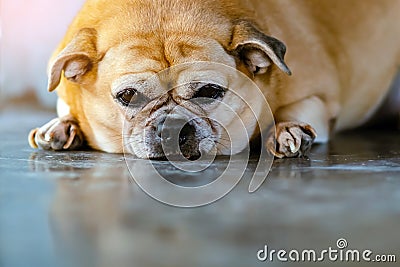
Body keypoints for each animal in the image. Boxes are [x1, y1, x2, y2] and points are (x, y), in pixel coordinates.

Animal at [28, 0, 400, 159]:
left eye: (210, 91)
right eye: (128, 96)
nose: (171, 126)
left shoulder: (319, 99)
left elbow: (296, 111)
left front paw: (287, 130)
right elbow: (65, 110)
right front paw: (60, 126)